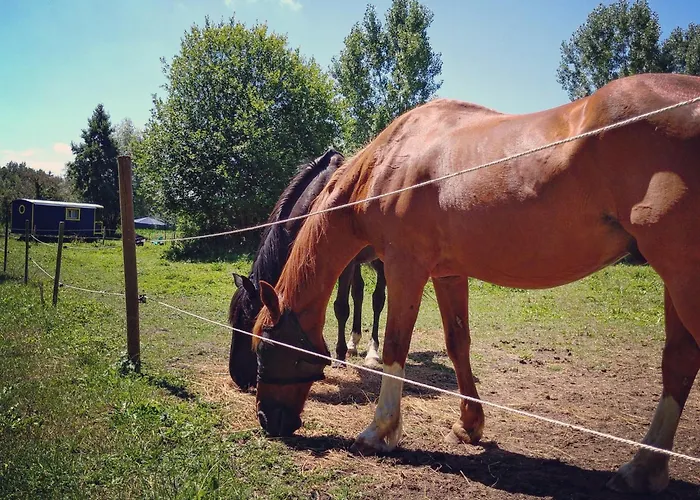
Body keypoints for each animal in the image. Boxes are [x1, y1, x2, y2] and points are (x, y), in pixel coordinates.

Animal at [228, 148, 386, 391]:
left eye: (249, 321)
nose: (238, 377)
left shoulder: (344, 264)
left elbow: (340, 307)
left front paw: (338, 357)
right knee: (358, 293)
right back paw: (353, 343)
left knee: (378, 299)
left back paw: (373, 352)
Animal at [249, 73, 700, 494]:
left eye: (264, 348)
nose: (267, 420)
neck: (392, 161)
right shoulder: (447, 274)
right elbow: (457, 344)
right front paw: (469, 424)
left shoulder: (404, 268)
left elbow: (395, 346)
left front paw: (380, 431)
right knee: (678, 363)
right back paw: (644, 468)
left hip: (682, 277)